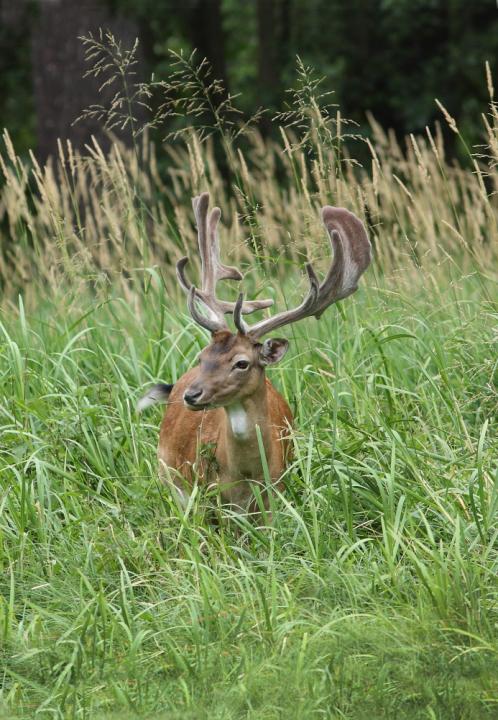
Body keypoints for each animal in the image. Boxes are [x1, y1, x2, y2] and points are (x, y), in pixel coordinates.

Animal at [138, 193, 372, 512]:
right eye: (202, 357)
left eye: (241, 363)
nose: (192, 395)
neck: (245, 480)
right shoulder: (206, 501)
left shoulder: (279, 493)